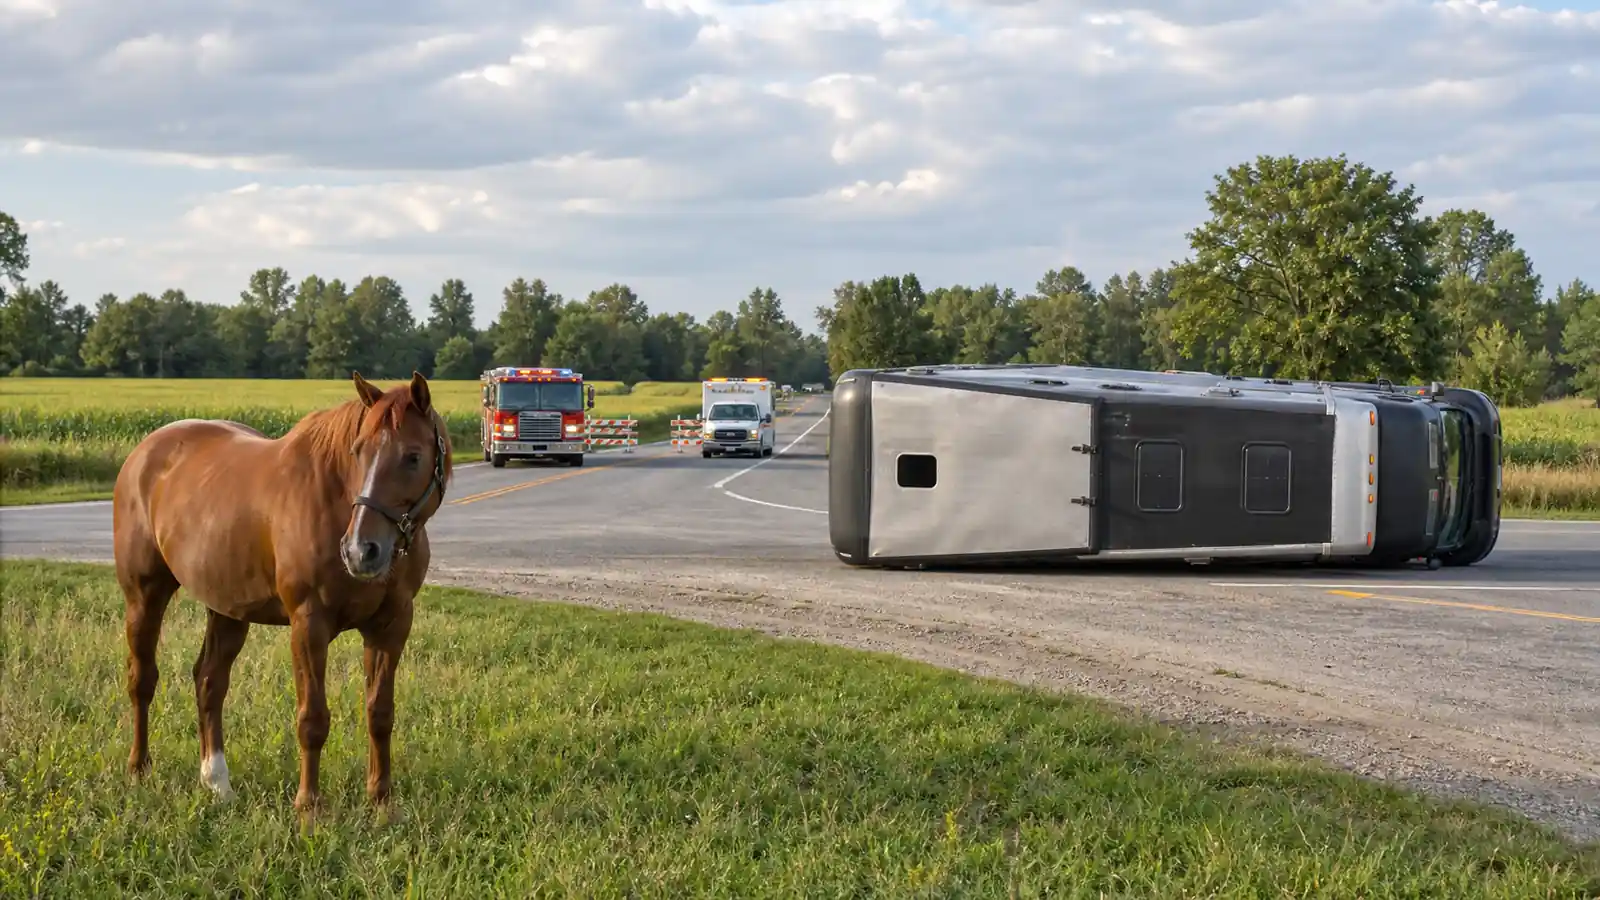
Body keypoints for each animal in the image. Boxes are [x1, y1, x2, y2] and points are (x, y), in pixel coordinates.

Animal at [112, 371, 453, 824]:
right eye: (358, 451)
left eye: (413, 457)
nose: (360, 551)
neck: (333, 501)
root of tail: (143, 453)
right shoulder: (309, 625)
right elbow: (312, 718)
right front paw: (309, 807)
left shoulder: (392, 625)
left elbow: (380, 713)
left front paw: (382, 802)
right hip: (144, 596)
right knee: (143, 679)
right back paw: (139, 769)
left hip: (227, 608)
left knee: (209, 681)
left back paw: (217, 783)